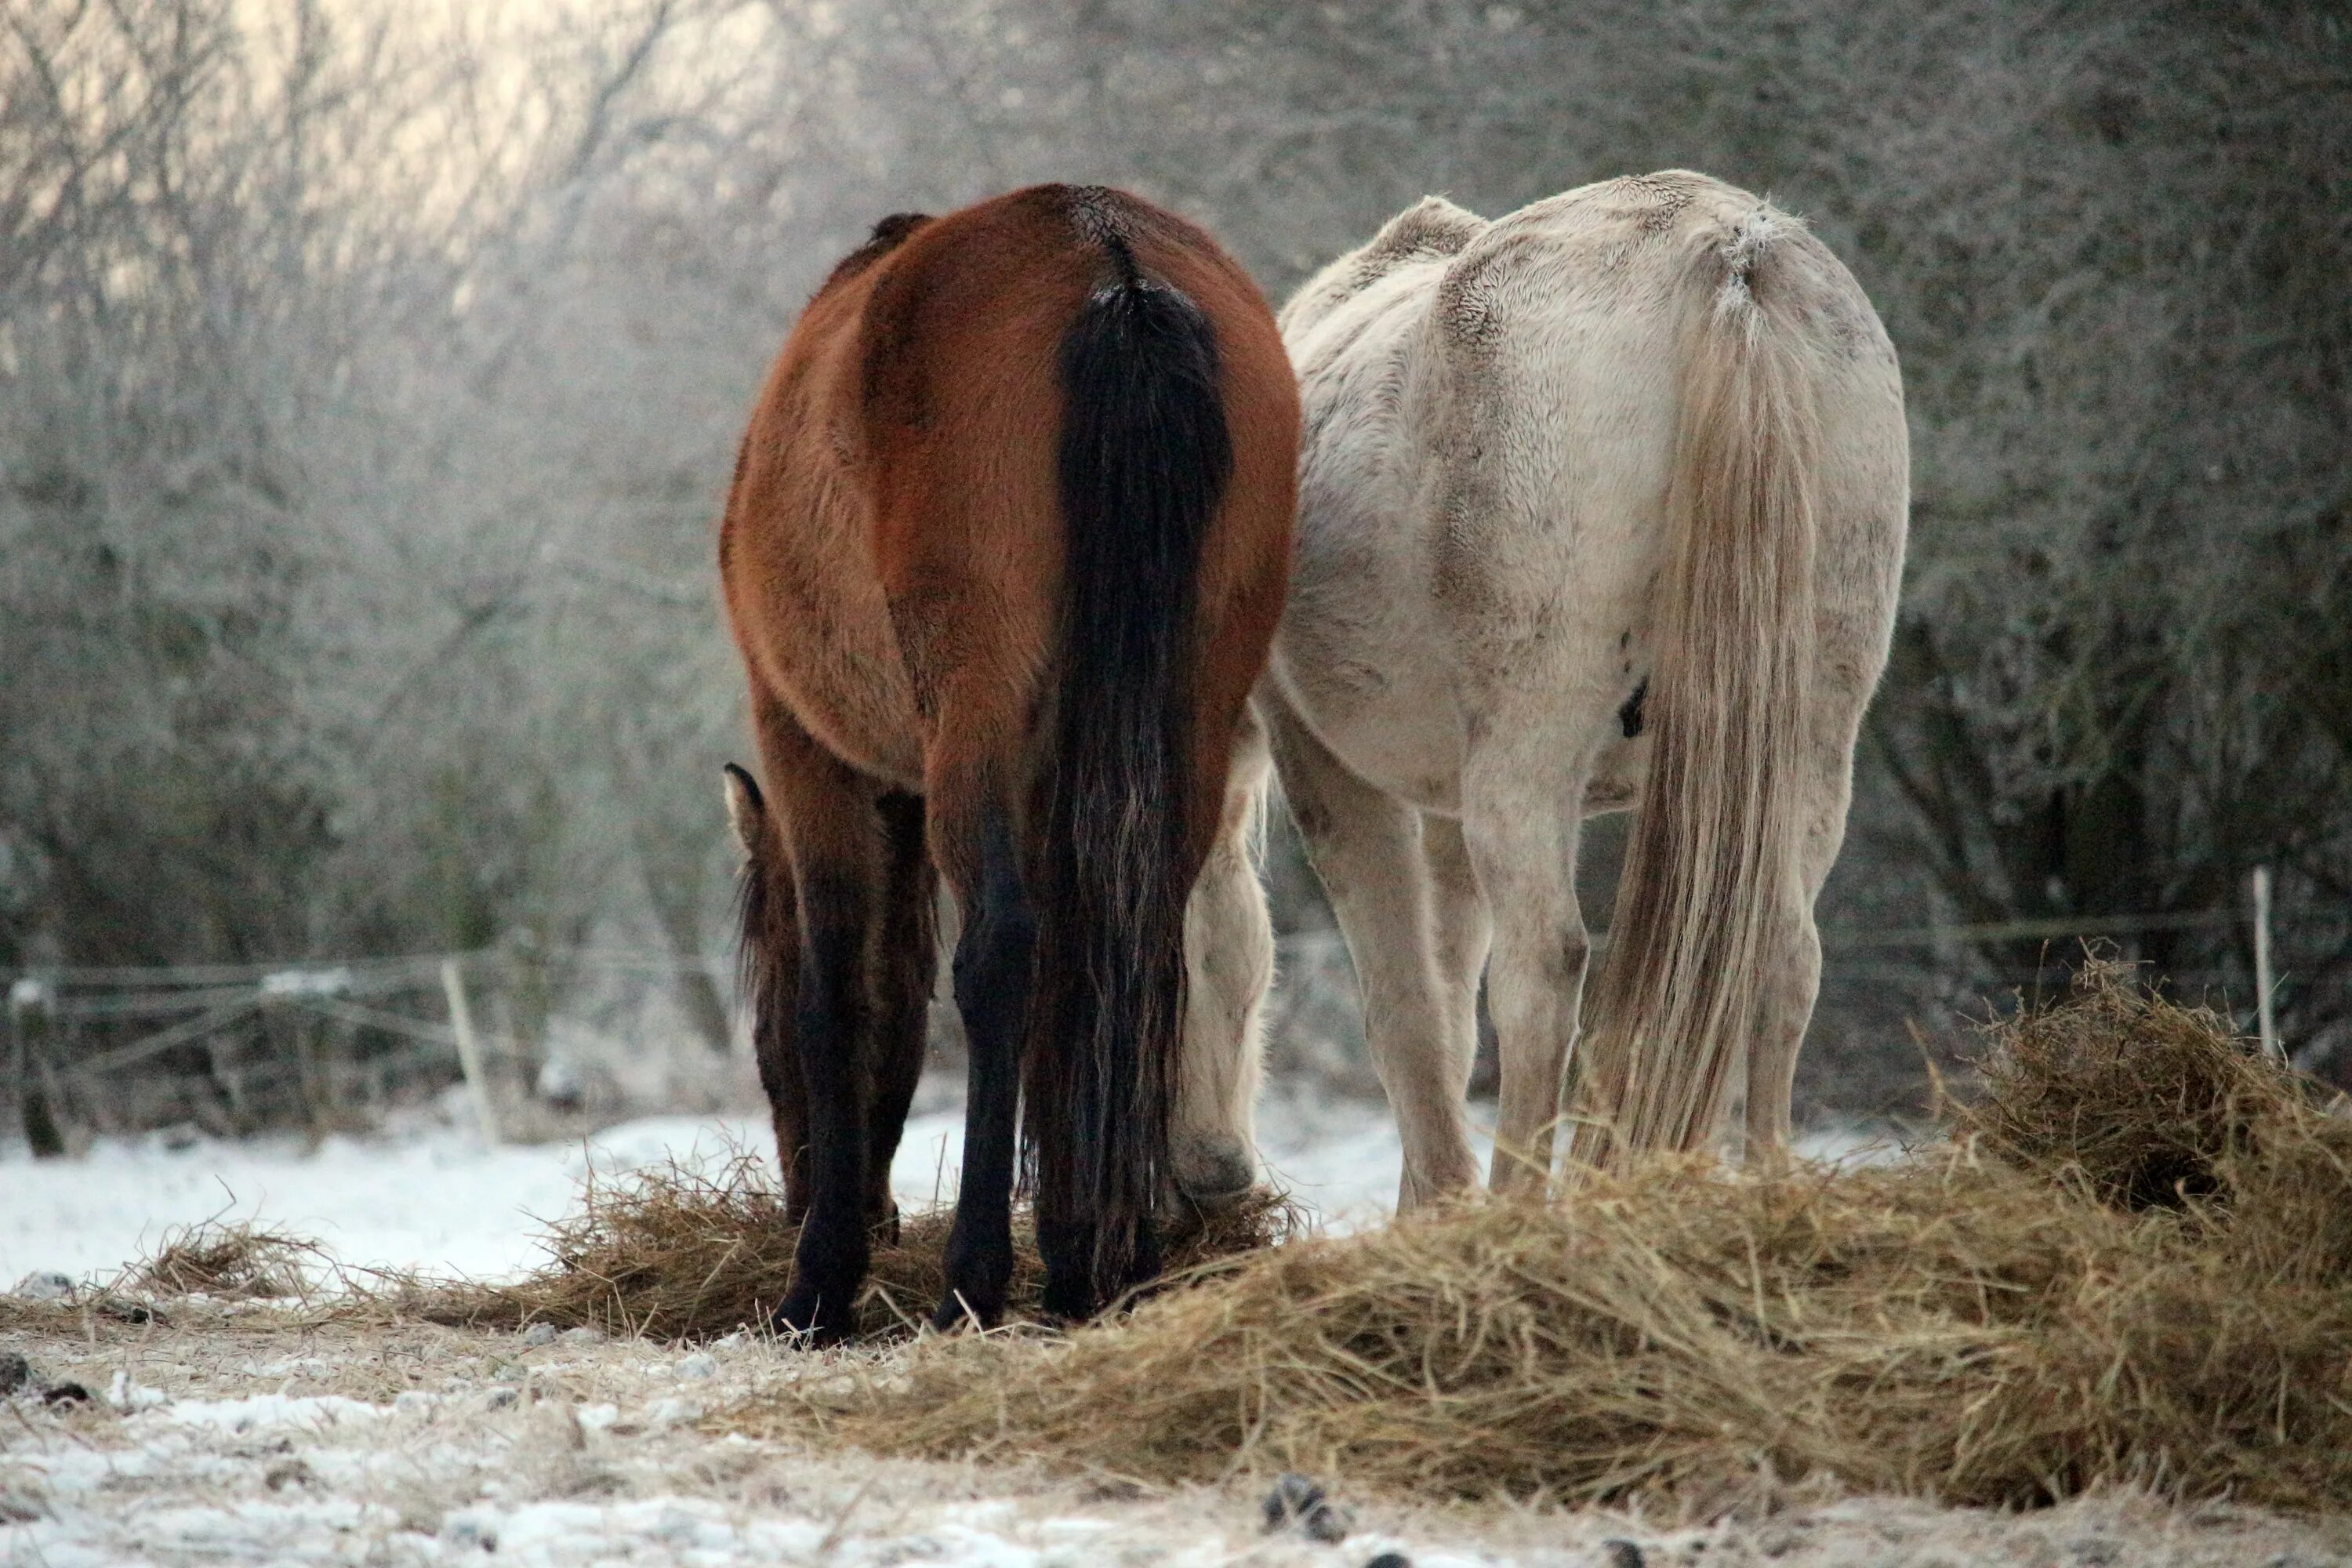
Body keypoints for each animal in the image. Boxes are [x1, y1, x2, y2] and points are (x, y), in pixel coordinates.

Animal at [720, 180, 1308, 1335]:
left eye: (760, 1051)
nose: (802, 1197)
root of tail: (1113, 262)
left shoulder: (810, 746)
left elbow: (840, 985)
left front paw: (823, 1278)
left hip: (977, 717)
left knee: (1002, 949)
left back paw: (974, 1278)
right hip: (1188, 707)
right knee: (1132, 945)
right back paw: (1104, 1263)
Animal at [1195, 171, 1910, 1203]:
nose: (1211, 1174)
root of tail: (1728, 249)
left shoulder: (1327, 770)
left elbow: (1407, 1013)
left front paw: (1440, 1206)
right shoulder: (1445, 809)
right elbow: (1449, 1009)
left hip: (1528, 758)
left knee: (1545, 970)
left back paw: (1517, 1206)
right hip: (1809, 747)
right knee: (1784, 953)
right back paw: (1770, 1180)